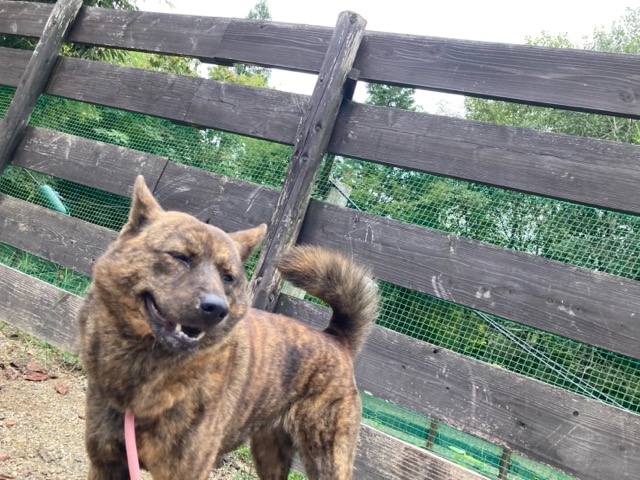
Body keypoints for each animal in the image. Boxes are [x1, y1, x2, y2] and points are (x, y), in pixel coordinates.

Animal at [77, 175, 378, 480]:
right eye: (180, 256)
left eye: (228, 277)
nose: (216, 308)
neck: (144, 368)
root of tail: (336, 339)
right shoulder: (107, 464)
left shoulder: (185, 471)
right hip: (270, 453)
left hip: (325, 458)